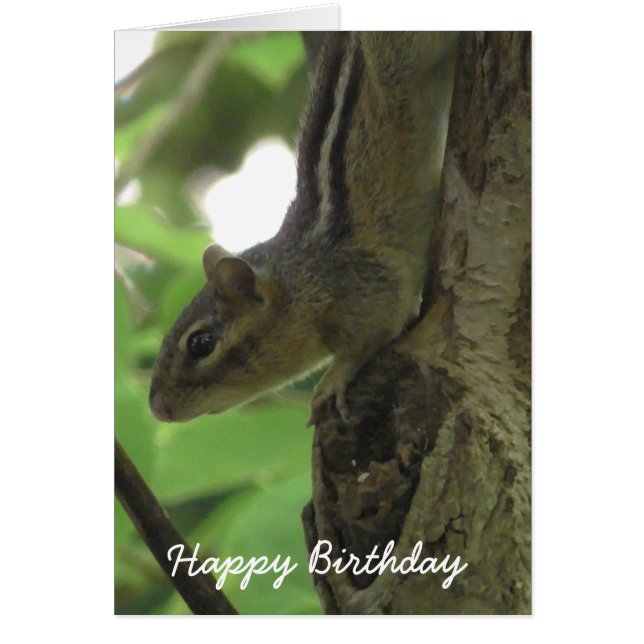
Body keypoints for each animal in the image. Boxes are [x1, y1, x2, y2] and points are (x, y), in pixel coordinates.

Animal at [149, 32, 458, 426]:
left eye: (200, 344)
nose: (157, 407)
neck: (301, 279)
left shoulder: (368, 290)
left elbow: (369, 337)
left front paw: (331, 381)